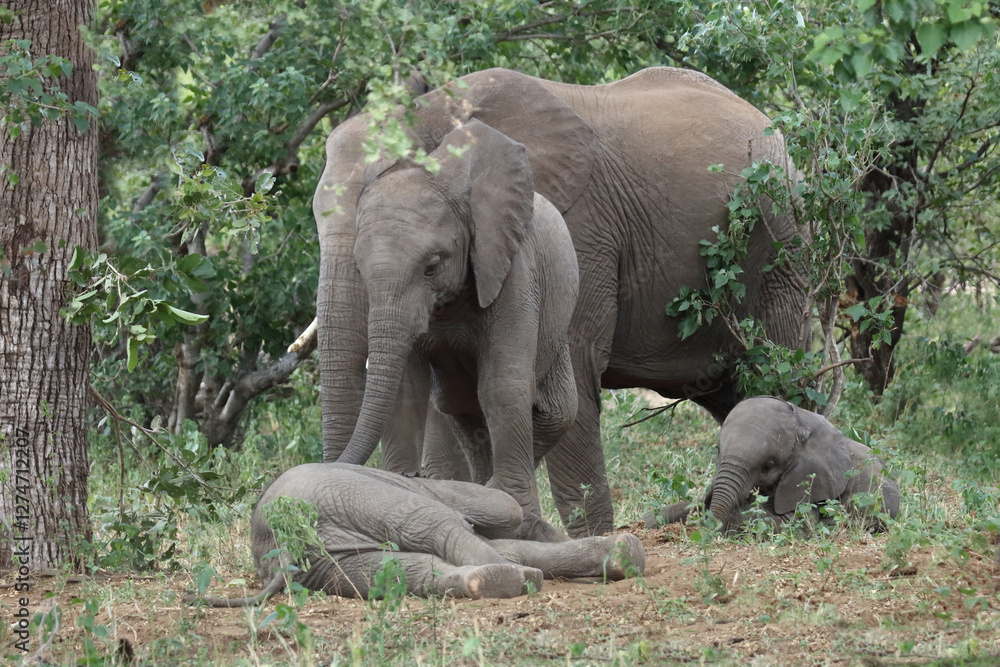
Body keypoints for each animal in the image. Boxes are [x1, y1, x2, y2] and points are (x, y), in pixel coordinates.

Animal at [186, 463, 646, 606]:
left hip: (324, 562)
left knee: (403, 572)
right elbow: (507, 516)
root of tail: (282, 537)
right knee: (433, 525)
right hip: (354, 496)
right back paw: (522, 580)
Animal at [315, 66, 806, 538]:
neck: (437, 107)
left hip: (780, 245)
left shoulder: (579, 229)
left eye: (432, 265)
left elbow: (571, 363)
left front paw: (590, 538)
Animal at [645, 396, 901, 532]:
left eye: (768, 465)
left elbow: (795, 524)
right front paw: (649, 520)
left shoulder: (809, 481)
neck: (800, 419)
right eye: (717, 451)